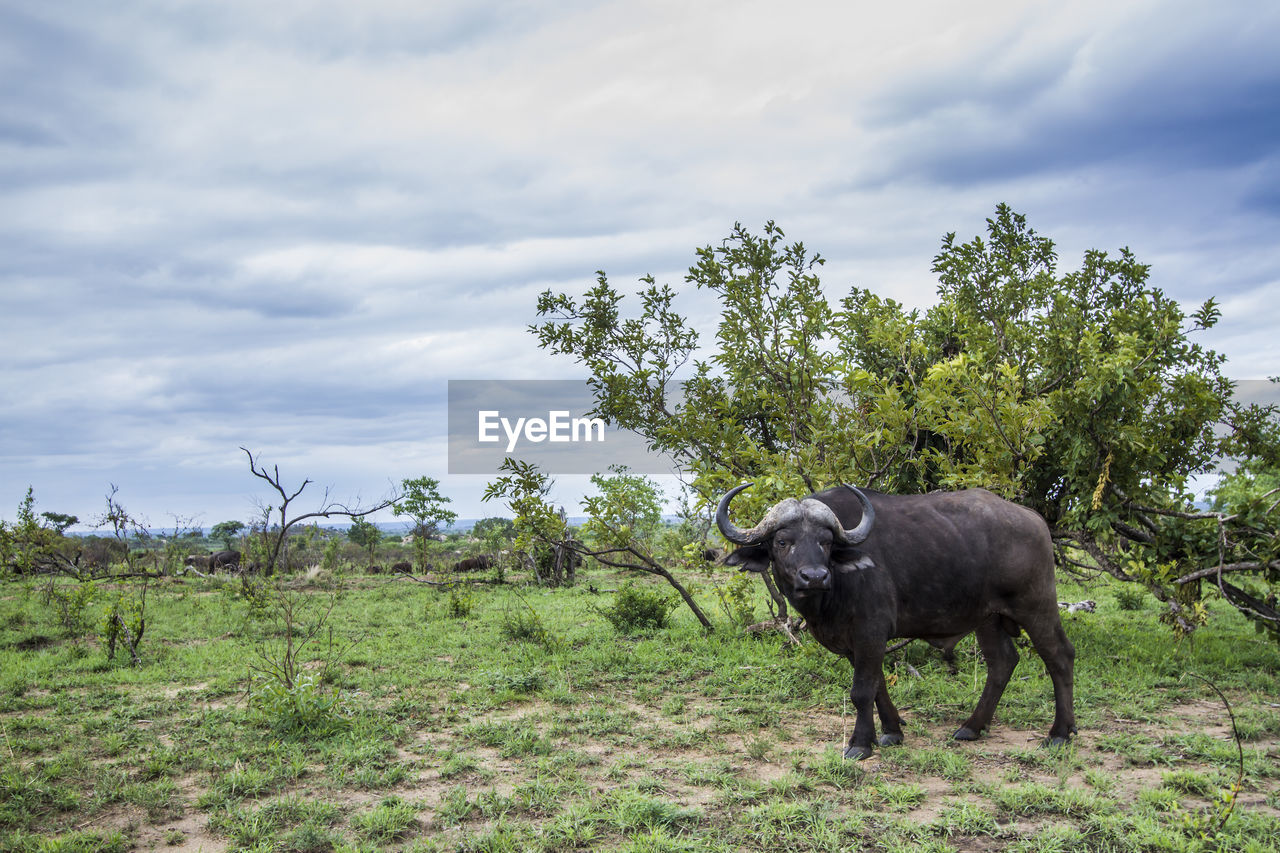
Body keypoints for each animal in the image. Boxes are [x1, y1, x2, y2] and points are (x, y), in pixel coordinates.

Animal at [721, 479, 1070, 758]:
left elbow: (861, 690)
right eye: (782, 541)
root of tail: (1034, 520)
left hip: (1036, 607)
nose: (815, 576)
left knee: (1059, 657)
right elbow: (877, 687)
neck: (829, 596)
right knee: (1002, 662)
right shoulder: (855, 642)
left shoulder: (870, 632)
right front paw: (891, 732)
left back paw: (1060, 733)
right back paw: (972, 727)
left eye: (826, 541)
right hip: (989, 618)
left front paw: (860, 744)